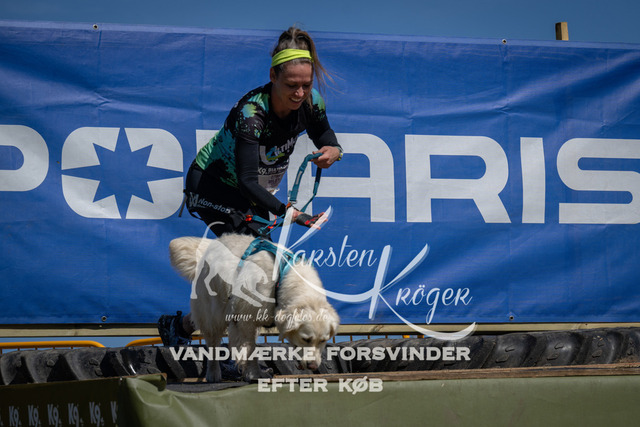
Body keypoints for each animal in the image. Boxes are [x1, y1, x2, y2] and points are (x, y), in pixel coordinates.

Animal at [169, 233, 340, 382]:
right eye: (306, 339)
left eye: (323, 340)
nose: (313, 366)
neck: (283, 278)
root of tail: (211, 245)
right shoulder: (245, 317)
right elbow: (250, 350)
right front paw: (254, 374)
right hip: (212, 313)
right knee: (213, 345)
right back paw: (213, 374)